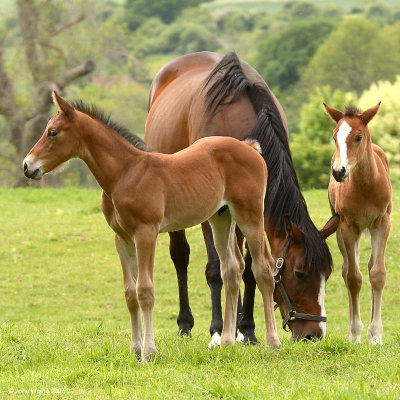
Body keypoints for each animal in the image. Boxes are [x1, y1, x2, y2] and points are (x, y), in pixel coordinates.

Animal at [22, 92, 282, 360]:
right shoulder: (122, 238)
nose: (27, 166)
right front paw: (135, 349)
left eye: (53, 132)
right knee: (231, 268)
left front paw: (148, 352)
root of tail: (250, 148)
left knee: (263, 268)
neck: (125, 174)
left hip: (250, 215)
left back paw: (272, 342)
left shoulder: (146, 232)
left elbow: (144, 290)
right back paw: (227, 342)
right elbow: (130, 293)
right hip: (221, 217)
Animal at [144, 50, 338, 344]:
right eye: (300, 273)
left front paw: (246, 329)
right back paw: (186, 324)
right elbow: (215, 268)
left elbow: (249, 269)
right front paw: (217, 329)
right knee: (181, 257)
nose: (312, 334)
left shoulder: (252, 209)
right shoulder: (212, 212)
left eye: (326, 274)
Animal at [324, 102, 390, 344]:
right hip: (340, 231)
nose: (338, 171)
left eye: (359, 137)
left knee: (370, 267)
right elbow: (353, 277)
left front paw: (376, 335)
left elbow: (378, 274)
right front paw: (354, 333)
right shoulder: (348, 226)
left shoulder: (382, 222)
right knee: (347, 270)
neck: (366, 186)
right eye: (335, 136)